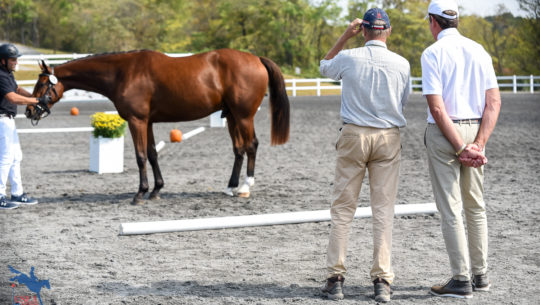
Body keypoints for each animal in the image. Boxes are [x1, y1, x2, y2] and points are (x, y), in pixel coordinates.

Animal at [28, 48, 292, 203]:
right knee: (238, 149)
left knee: (251, 146)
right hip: (232, 117)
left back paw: (245, 188)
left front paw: (140, 193)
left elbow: (140, 156)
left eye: (41, 84)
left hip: (244, 116)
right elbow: (153, 154)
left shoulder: (137, 121)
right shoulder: (149, 122)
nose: (30, 110)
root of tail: (256, 59)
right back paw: (230, 187)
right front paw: (156, 190)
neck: (123, 73)